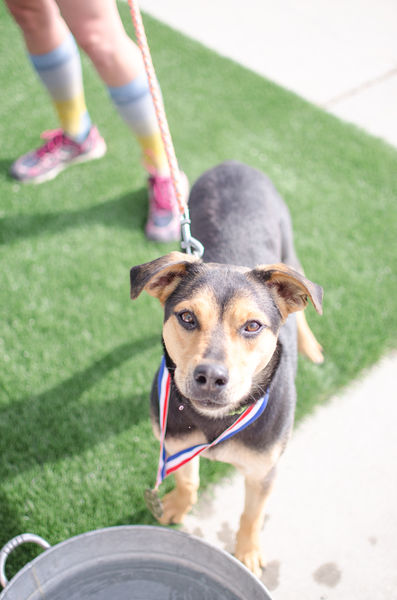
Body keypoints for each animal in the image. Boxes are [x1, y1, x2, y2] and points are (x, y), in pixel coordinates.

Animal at [130, 162, 322, 576]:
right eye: (186, 317)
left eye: (252, 326)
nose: (210, 377)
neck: (215, 421)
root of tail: (235, 164)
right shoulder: (174, 442)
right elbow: (187, 479)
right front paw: (176, 506)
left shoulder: (263, 470)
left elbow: (253, 513)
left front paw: (247, 554)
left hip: (290, 251)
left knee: (306, 301)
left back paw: (311, 345)